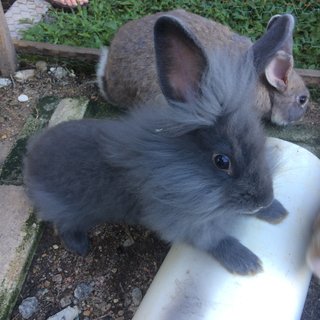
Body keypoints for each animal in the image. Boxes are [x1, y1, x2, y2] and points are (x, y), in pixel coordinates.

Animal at [23, 15, 286, 276]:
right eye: (222, 161)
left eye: (260, 139)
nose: (263, 199)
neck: (177, 165)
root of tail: (31, 157)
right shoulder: (184, 221)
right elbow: (213, 240)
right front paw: (248, 263)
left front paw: (277, 211)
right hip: (70, 210)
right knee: (63, 224)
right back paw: (80, 246)